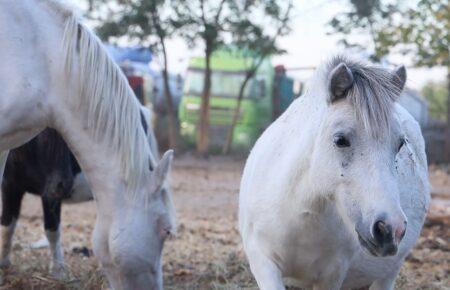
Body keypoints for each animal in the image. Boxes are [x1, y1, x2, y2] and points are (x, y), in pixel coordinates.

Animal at [239, 56, 428, 290]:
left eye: (400, 144)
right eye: (340, 140)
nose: (389, 229)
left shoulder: (332, 275)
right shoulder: (263, 263)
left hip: (388, 273)